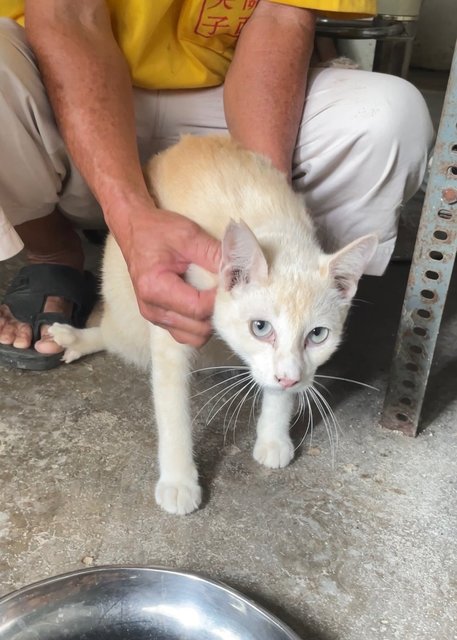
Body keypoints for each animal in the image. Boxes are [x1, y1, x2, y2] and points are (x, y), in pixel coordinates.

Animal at [50, 135, 378, 516]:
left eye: (318, 335)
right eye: (260, 328)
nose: (290, 379)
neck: (273, 227)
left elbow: (277, 390)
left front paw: (273, 434)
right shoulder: (170, 314)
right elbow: (172, 406)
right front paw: (179, 480)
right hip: (128, 307)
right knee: (115, 335)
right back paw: (74, 337)